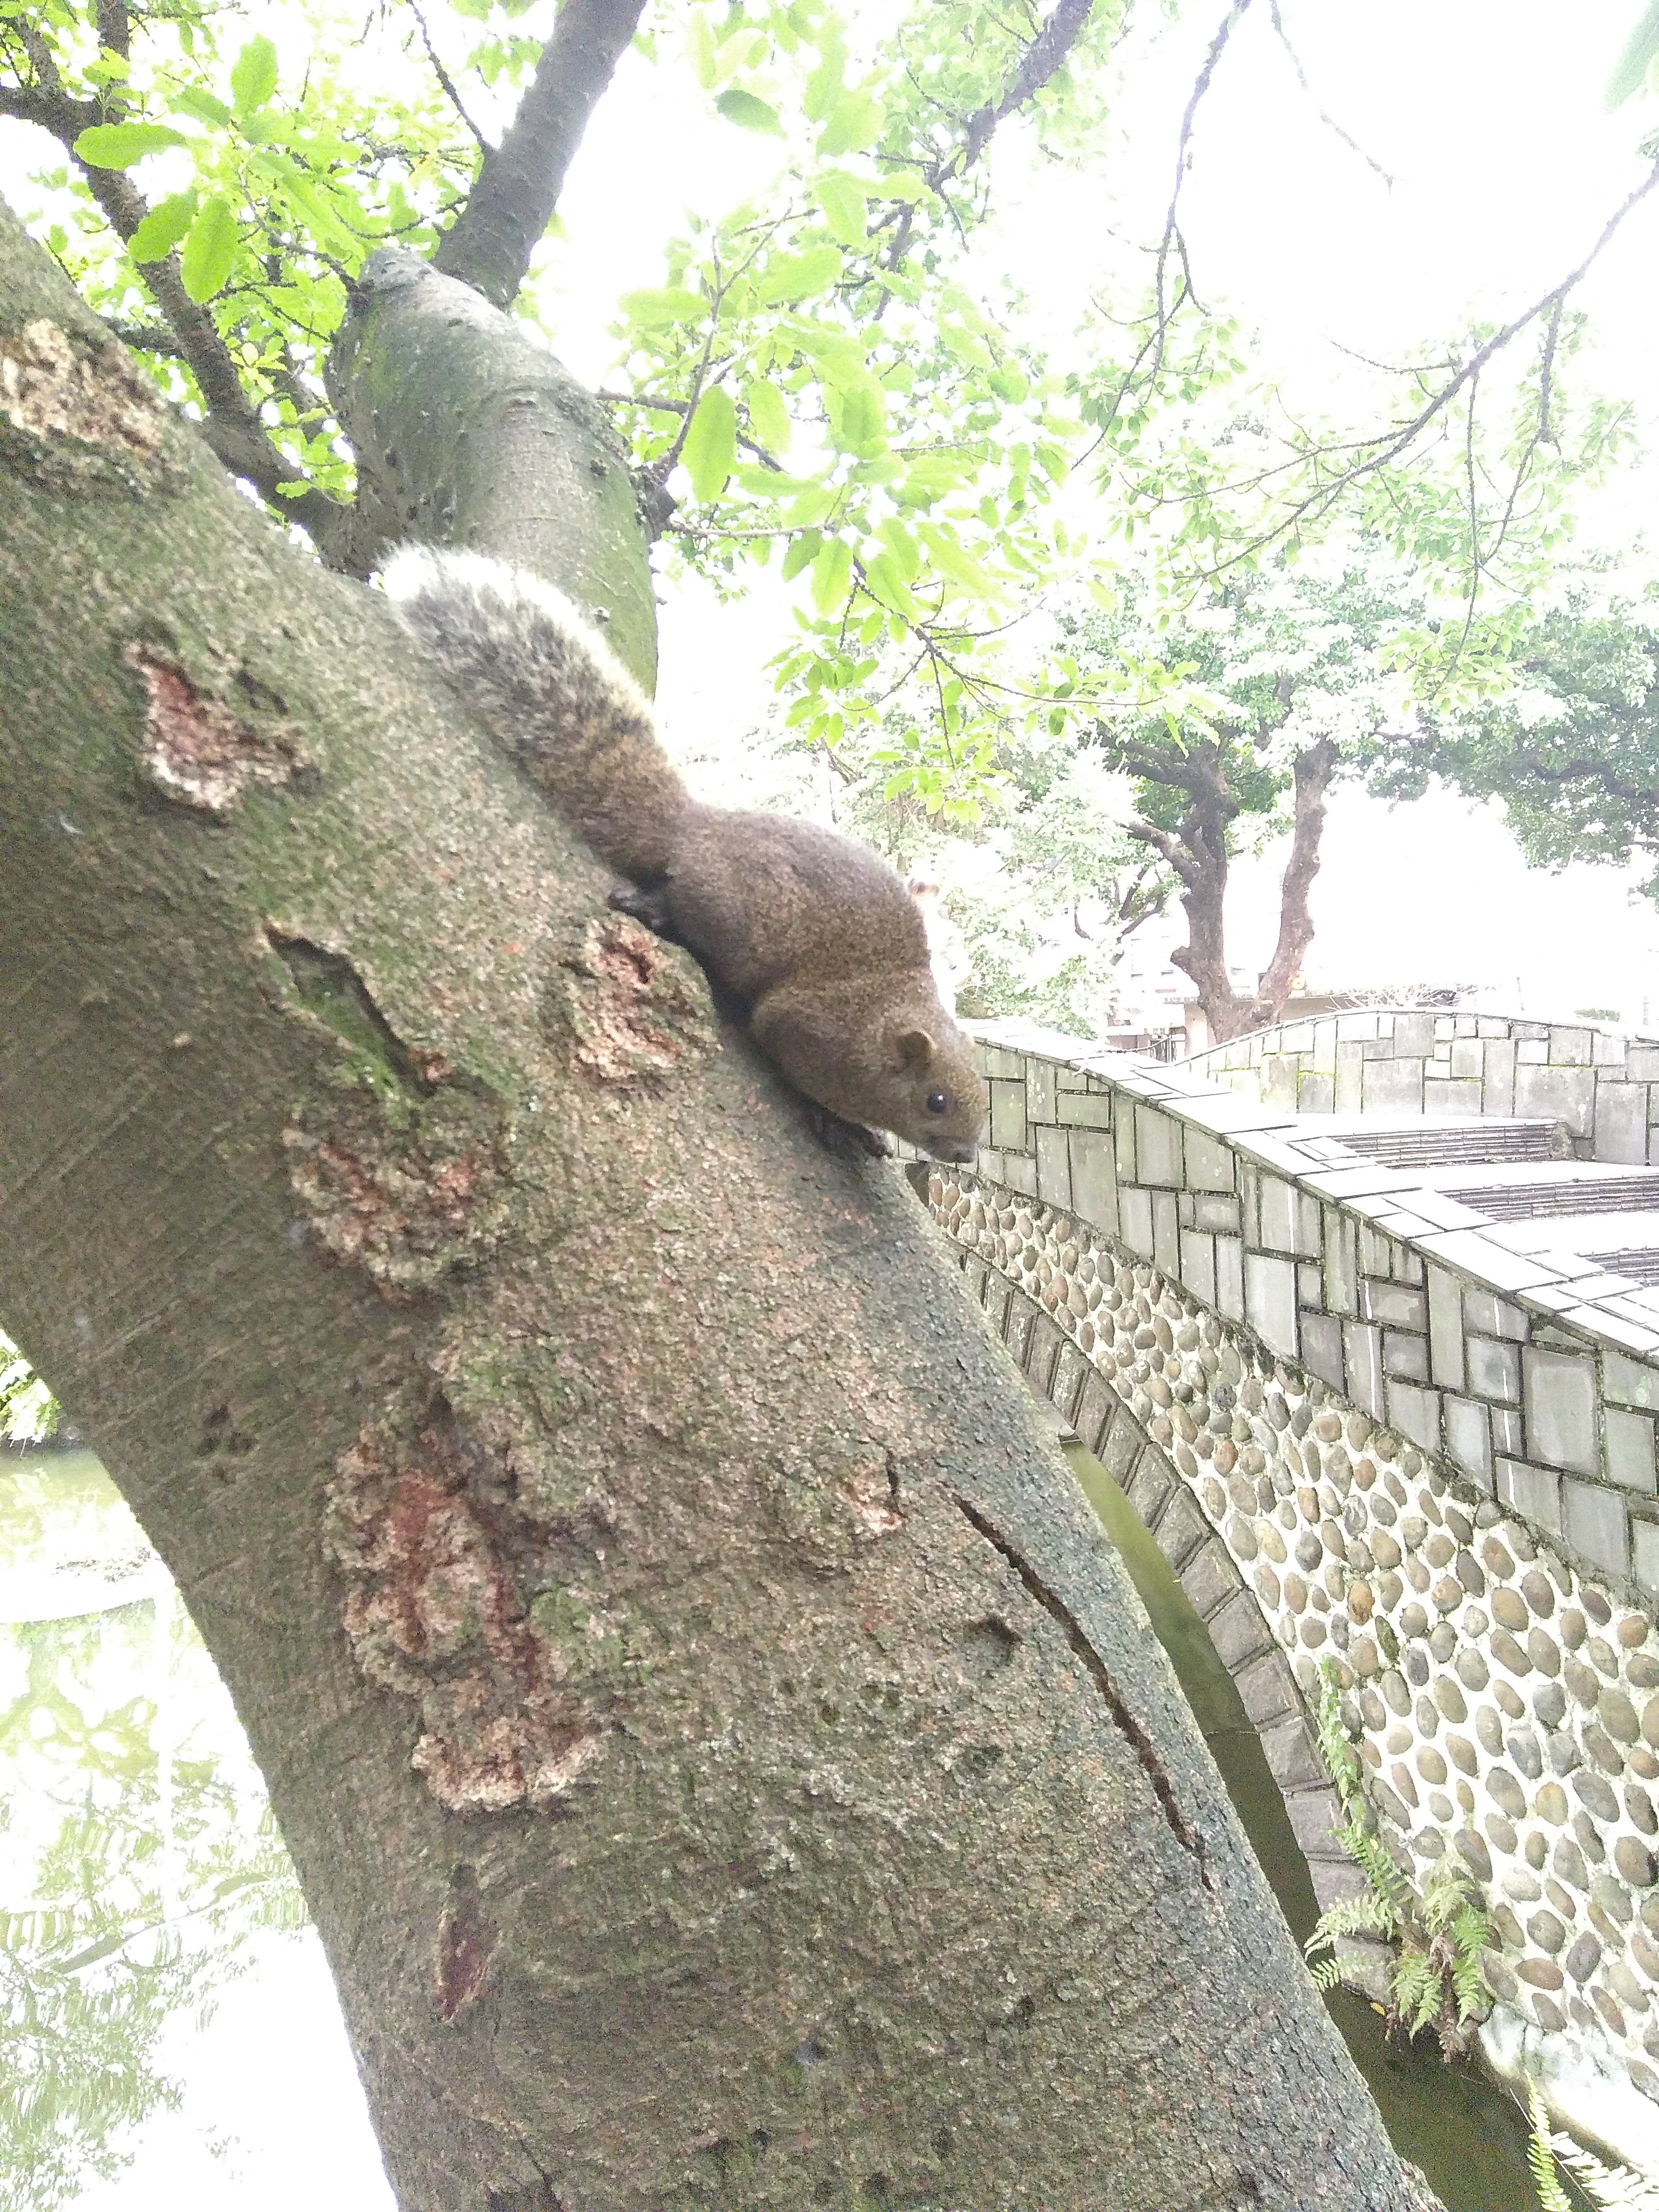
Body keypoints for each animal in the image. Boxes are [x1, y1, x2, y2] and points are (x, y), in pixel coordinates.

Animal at [382, 547, 986, 1163]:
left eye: (984, 1099)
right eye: (935, 1101)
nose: (966, 1154)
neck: (884, 1017)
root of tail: (694, 828)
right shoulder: (811, 1033)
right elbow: (787, 1057)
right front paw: (841, 1120)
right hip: (739, 915)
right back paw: (657, 908)